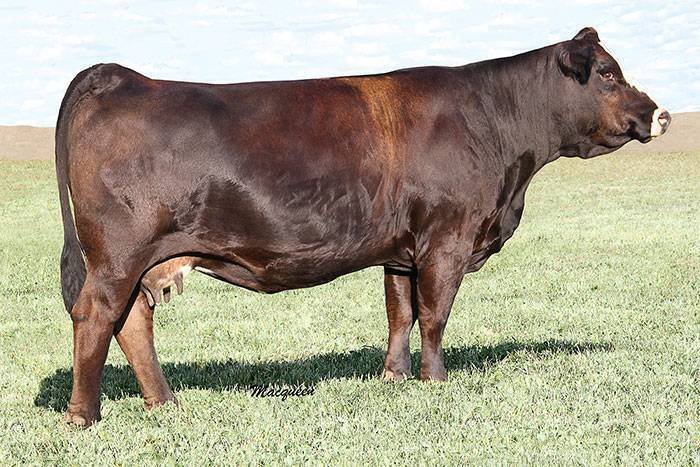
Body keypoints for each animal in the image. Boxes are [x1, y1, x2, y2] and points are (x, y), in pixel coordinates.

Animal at [55, 27, 670, 426]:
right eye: (608, 73)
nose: (659, 113)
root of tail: (123, 77)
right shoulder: (446, 239)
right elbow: (434, 314)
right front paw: (435, 381)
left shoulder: (402, 248)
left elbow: (400, 313)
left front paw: (394, 377)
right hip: (118, 255)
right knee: (97, 316)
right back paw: (84, 416)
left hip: (141, 260)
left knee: (132, 322)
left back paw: (166, 403)